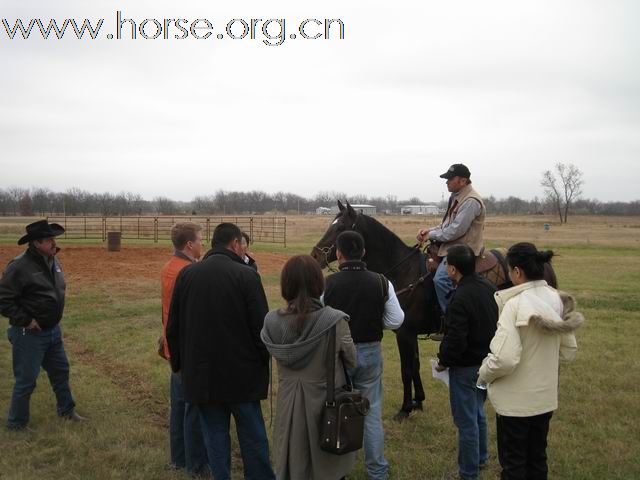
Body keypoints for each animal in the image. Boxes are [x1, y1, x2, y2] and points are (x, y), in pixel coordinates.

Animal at [312, 202, 556, 420]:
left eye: (341, 228)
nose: (315, 256)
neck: (405, 272)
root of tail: (542, 261)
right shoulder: (410, 334)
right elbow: (415, 366)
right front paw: (418, 401)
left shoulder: (405, 334)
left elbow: (406, 370)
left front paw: (405, 409)